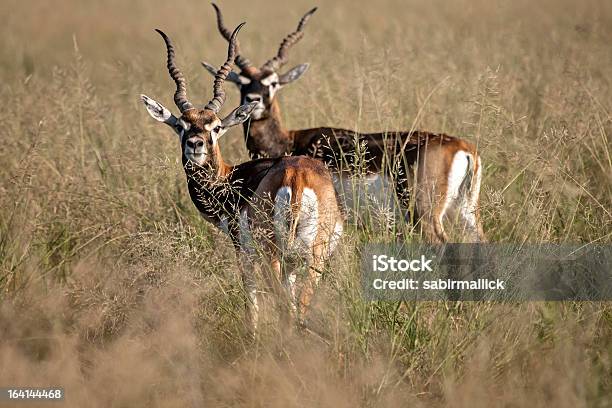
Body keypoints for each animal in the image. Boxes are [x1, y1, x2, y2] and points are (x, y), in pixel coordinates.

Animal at [142, 23, 344, 332]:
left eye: (215, 127)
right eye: (180, 125)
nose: (195, 144)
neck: (231, 180)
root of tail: (297, 177)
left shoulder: (243, 250)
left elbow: (250, 295)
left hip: (273, 254)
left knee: (285, 306)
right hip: (313, 257)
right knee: (300, 306)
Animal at [203, 3, 486, 242]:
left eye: (273, 83)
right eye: (241, 82)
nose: (254, 100)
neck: (290, 142)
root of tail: (464, 149)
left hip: (426, 217)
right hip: (466, 214)